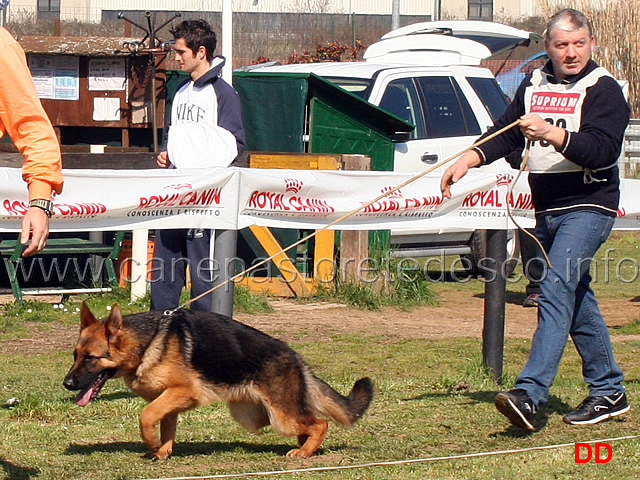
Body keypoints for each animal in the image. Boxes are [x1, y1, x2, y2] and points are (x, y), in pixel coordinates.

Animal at [62, 304, 372, 462]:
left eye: (91, 358)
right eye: (75, 356)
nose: (67, 383)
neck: (147, 341)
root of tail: (295, 357)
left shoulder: (184, 392)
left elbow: (146, 416)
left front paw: (151, 444)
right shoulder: (169, 399)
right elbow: (165, 427)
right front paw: (162, 451)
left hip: (279, 417)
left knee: (320, 424)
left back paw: (305, 452)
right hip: (260, 415)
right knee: (308, 424)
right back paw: (306, 447)